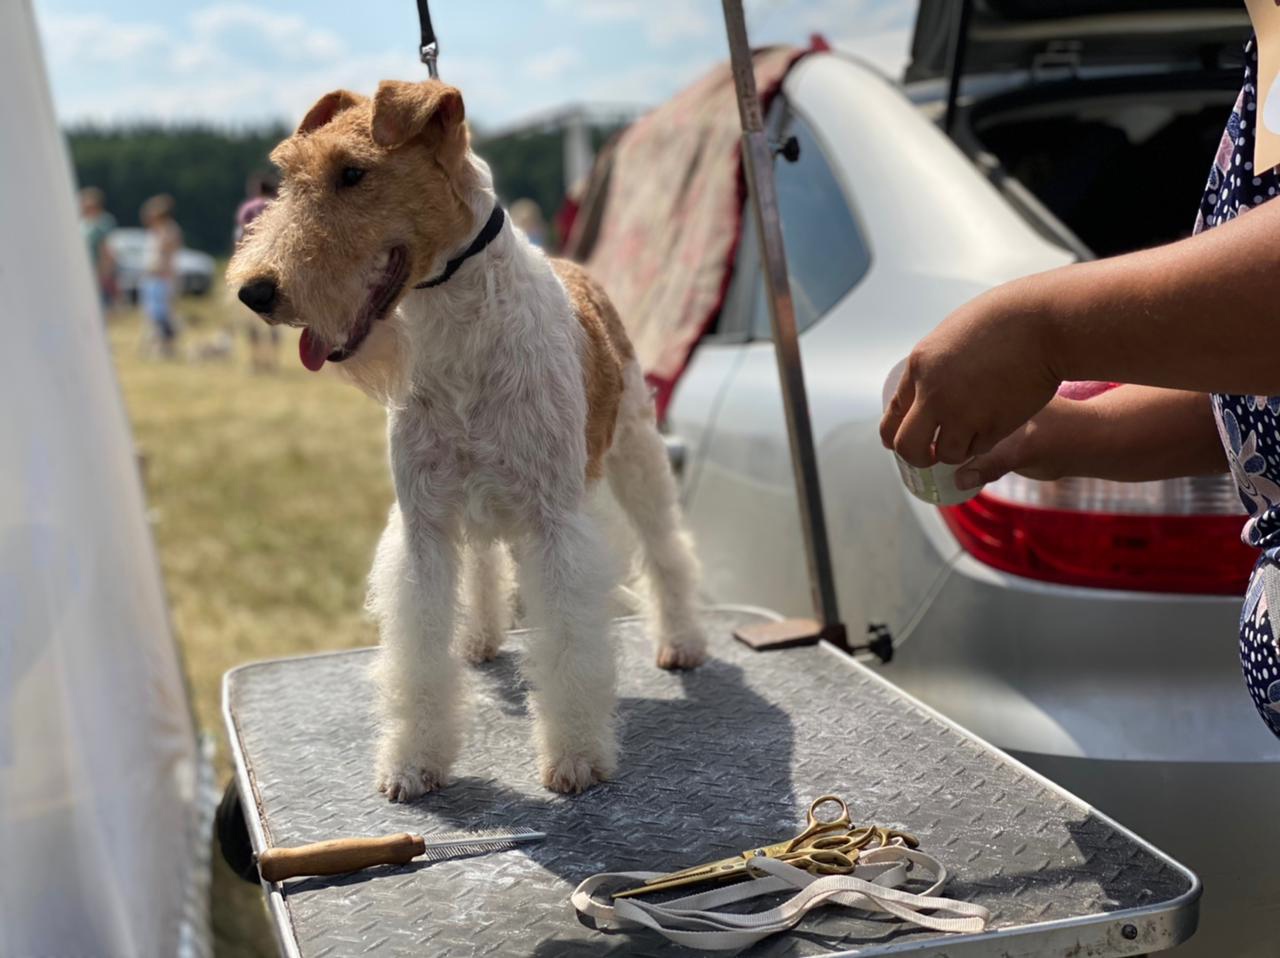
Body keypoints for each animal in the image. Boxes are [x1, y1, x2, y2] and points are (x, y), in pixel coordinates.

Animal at [230, 82, 711, 799]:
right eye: (287, 175)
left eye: (353, 173)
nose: (255, 292)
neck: (457, 325)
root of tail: (575, 265)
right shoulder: (423, 523)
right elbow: (417, 656)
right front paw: (412, 763)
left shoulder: (553, 522)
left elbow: (569, 642)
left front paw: (575, 757)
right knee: (485, 563)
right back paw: (480, 637)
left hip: (635, 454)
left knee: (666, 546)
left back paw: (681, 642)